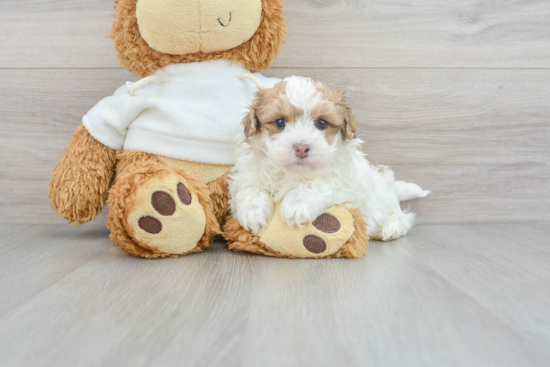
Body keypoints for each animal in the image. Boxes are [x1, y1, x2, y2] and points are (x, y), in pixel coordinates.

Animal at [229, 77, 432, 242]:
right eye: (280, 122)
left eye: (322, 123)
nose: (301, 148)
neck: (293, 173)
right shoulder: (247, 172)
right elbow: (250, 187)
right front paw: (252, 212)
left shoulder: (344, 180)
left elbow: (318, 183)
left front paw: (297, 205)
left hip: (384, 199)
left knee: (400, 216)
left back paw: (390, 228)